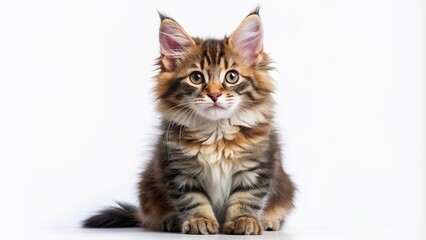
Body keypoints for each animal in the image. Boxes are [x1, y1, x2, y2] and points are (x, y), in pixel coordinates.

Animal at [83, 8, 296, 235]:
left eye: (232, 76)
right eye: (196, 78)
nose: (214, 94)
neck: (216, 134)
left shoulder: (256, 168)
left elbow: (247, 198)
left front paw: (244, 220)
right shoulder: (179, 170)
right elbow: (193, 200)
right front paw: (199, 221)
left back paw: (269, 220)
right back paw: (171, 220)